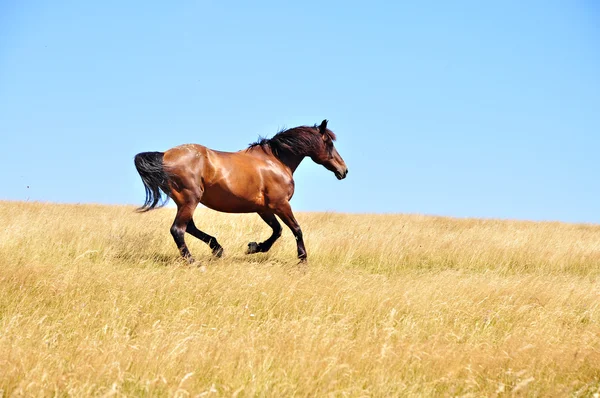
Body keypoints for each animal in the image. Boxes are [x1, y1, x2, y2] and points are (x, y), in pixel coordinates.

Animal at [131, 119, 346, 266]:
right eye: (329, 143)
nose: (344, 170)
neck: (275, 161)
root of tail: (165, 155)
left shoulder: (264, 209)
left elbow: (277, 230)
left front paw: (254, 247)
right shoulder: (281, 204)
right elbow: (296, 229)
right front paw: (302, 260)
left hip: (185, 202)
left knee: (189, 227)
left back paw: (217, 249)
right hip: (190, 200)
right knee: (178, 229)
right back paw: (193, 261)